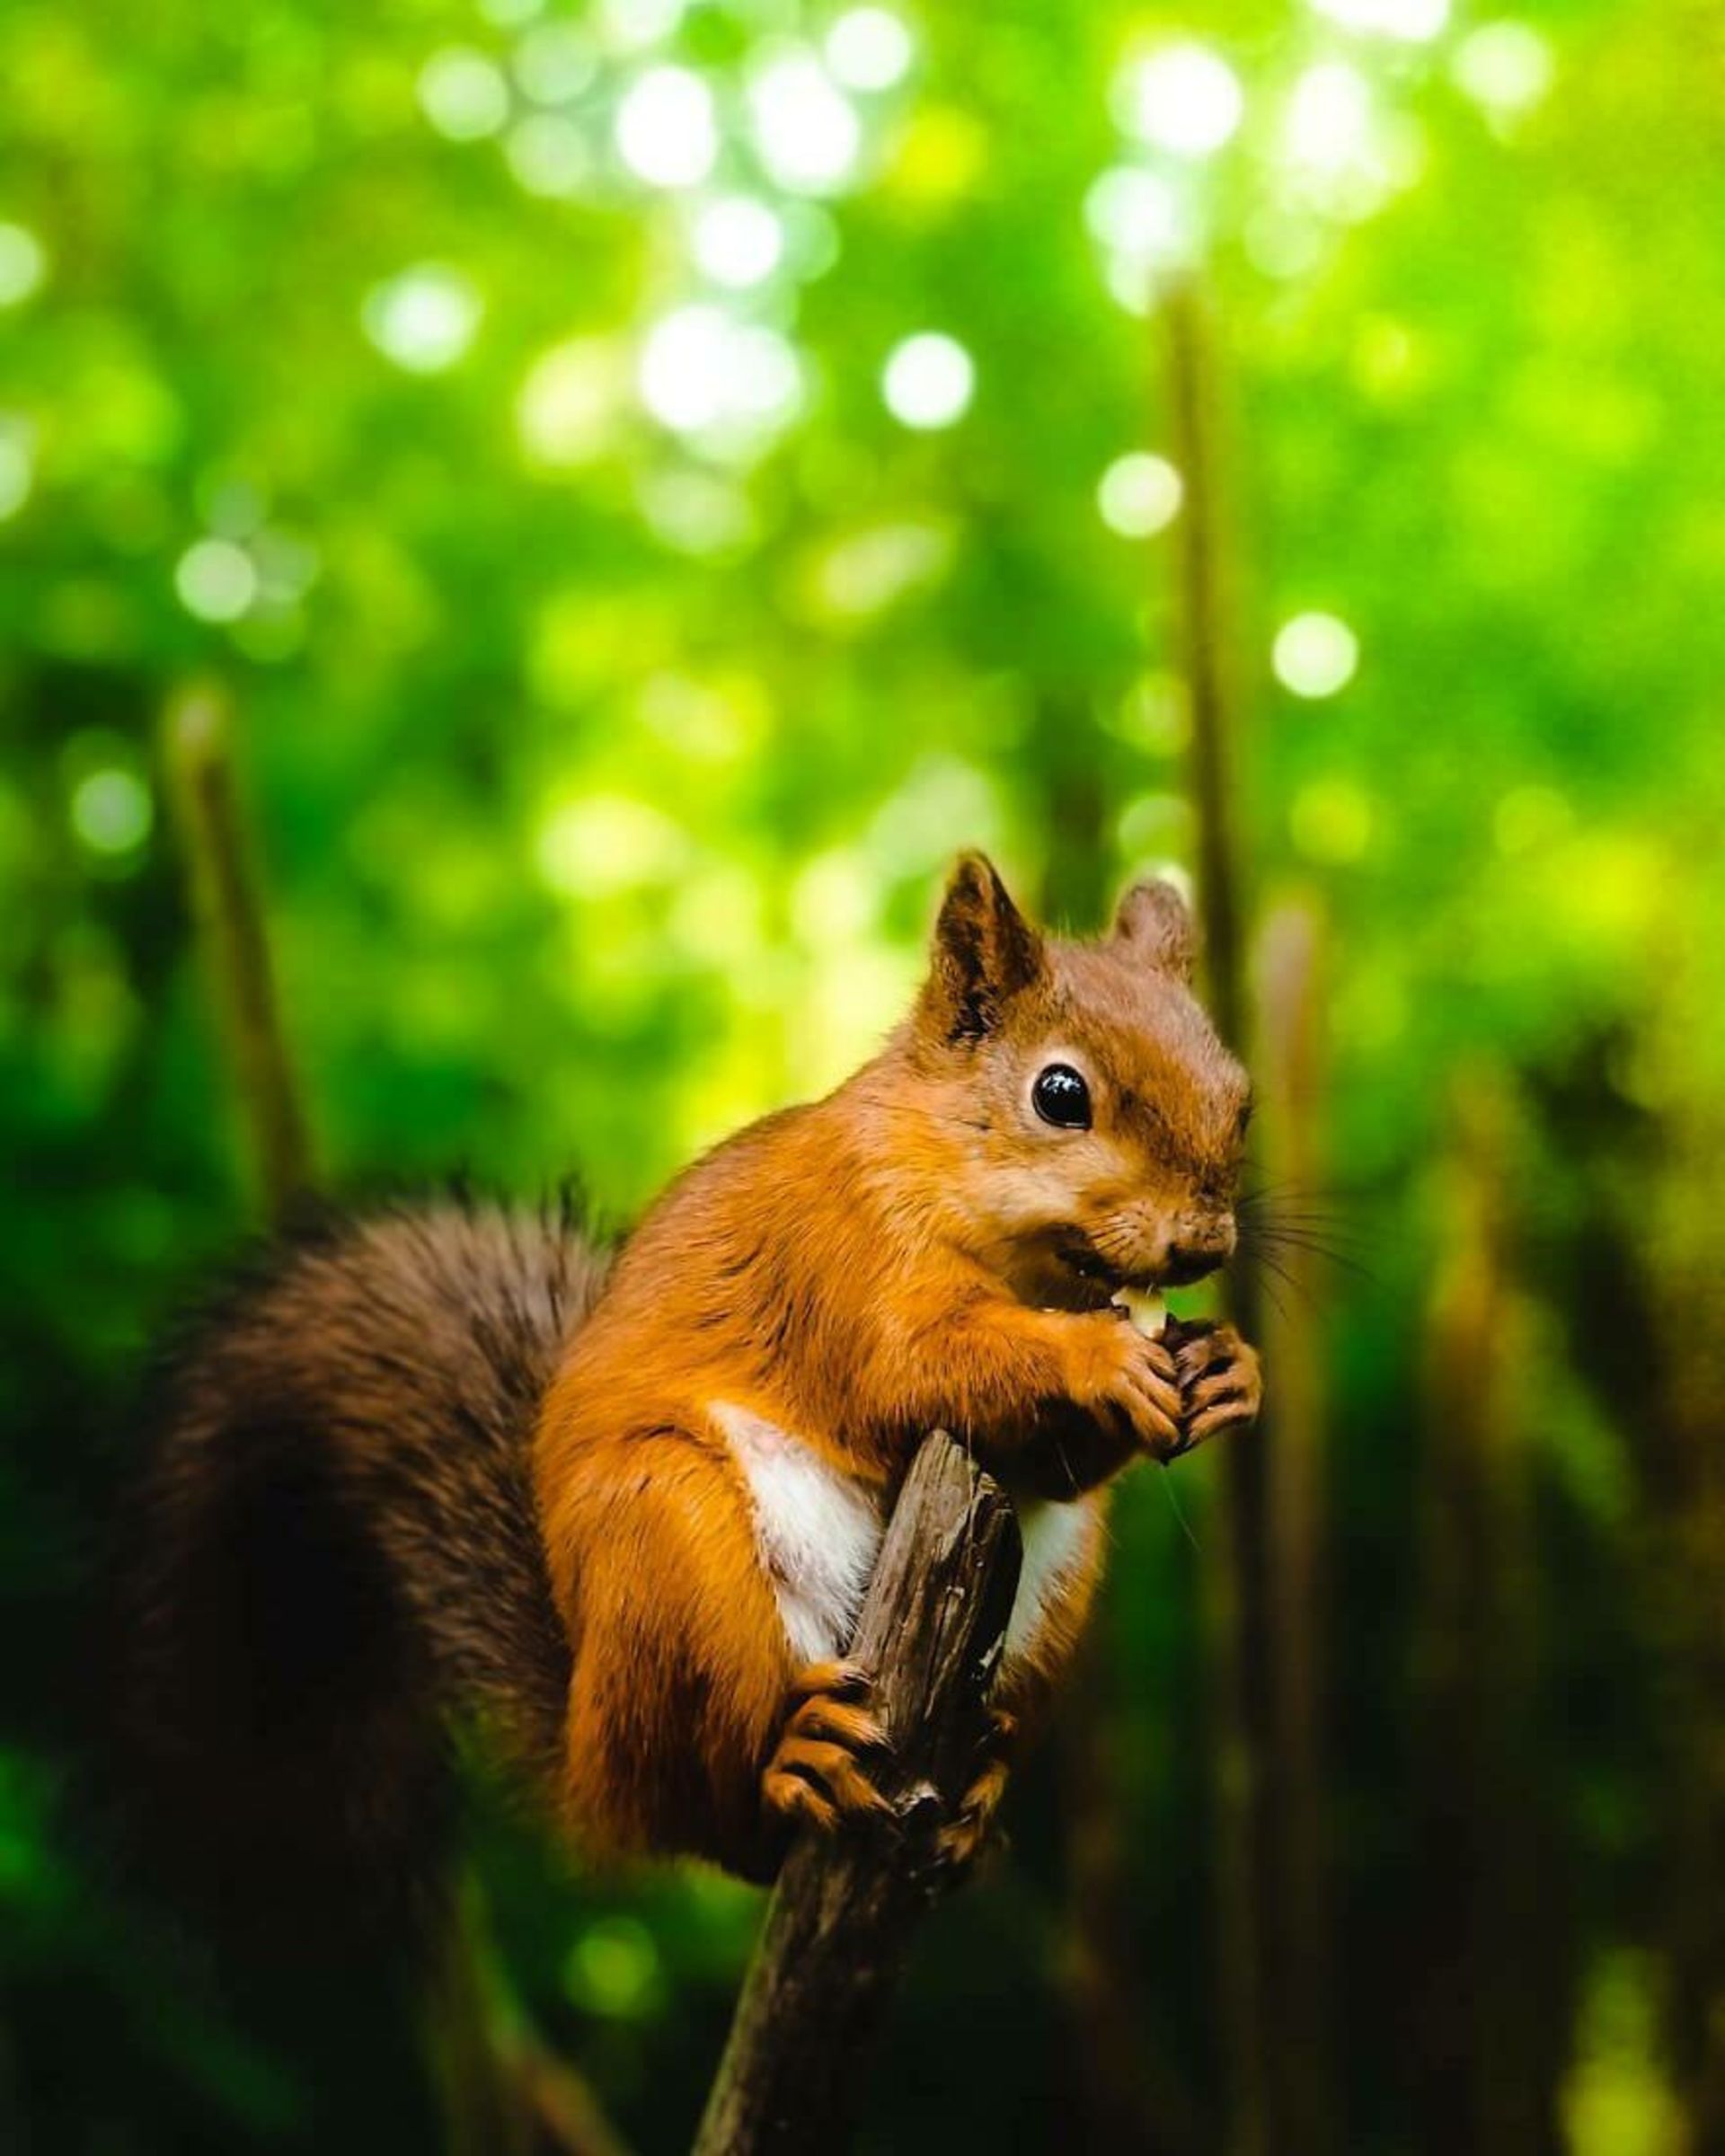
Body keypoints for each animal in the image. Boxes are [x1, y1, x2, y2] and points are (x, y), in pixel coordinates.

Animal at [118, 849, 1251, 1914]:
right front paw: (1101, 1359)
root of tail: (588, 1757)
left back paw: (972, 1804)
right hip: (669, 1541)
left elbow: (1053, 1464)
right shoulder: (839, 1259)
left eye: (1240, 1101)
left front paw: (1228, 1368)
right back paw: (794, 1766)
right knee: (714, 1815)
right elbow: (919, 1370)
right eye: (1060, 1095)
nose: (1205, 1242)